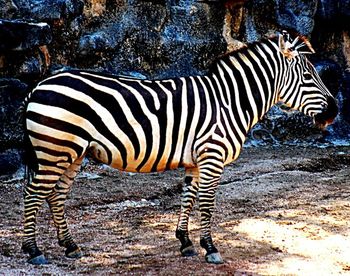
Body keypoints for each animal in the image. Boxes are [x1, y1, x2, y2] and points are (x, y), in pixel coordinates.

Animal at [22, 31, 340, 266]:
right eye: (309, 77)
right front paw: (211, 248)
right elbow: (207, 204)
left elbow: (188, 197)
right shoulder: (213, 155)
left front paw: (185, 242)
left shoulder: (196, 160)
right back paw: (33, 250)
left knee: (55, 195)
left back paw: (70, 246)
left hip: (71, 152)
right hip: (55, 149)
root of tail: (38, 85)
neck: (229, 102)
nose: (335, 111)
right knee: (33, 193)